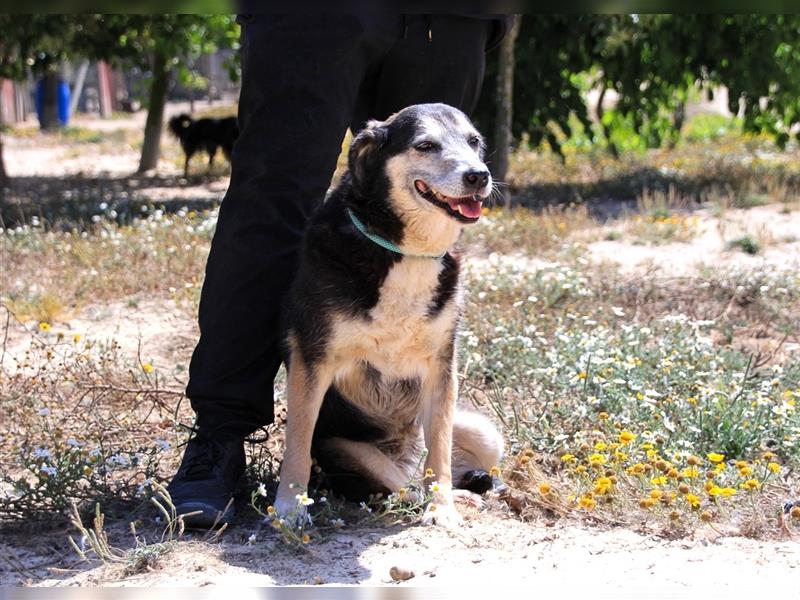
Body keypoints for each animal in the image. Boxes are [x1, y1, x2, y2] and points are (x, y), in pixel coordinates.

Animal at [274, 104, 500, 528]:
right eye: (425, 145)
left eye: (474, 142)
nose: (478, 175)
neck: (406, 251)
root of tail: (404, 453)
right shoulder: (312, 359)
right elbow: (297, 441)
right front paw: (289, 508)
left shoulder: (442, 367)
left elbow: (440, 453)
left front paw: (442, 509)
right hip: (347, 450)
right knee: (400, 486)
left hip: (485, 433)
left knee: (430, 469)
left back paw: (462, 492)